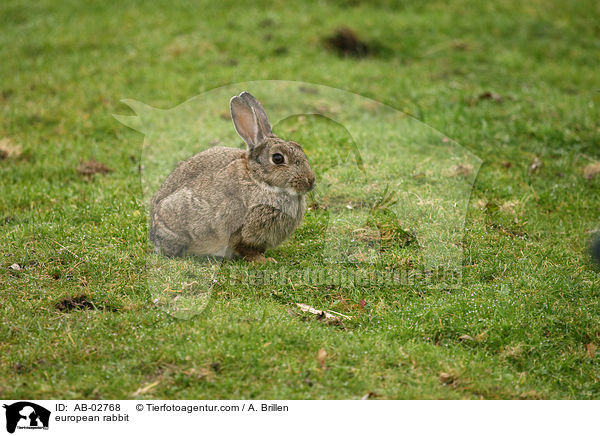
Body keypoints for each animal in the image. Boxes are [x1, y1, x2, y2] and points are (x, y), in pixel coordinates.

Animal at [149, 91, 316, 262]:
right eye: (278, 158)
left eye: (298, 147)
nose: (310, 181)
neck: (259, 179)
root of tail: (154, 233)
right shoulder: (241, 230)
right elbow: (246, 249)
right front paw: (265, 260)